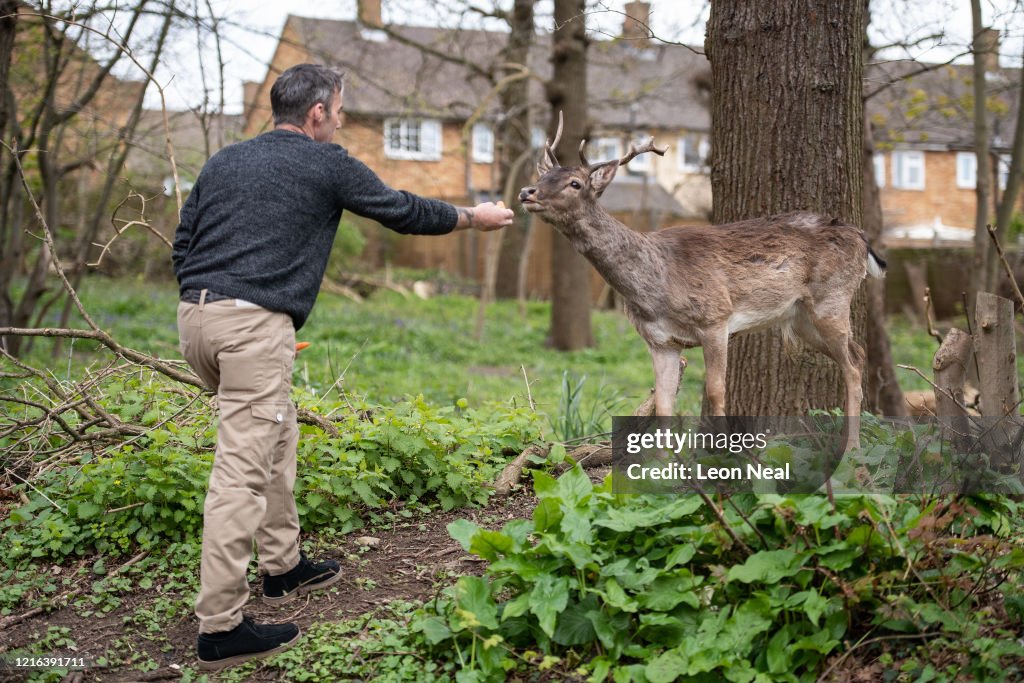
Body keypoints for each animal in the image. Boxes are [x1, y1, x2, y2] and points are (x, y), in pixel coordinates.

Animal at [520, 114, 888, 450]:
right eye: (544, 174)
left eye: (575, 183)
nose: (527, 191)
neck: (655, 287)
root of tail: (861, 239)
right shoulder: (659, 341)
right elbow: (664, 404)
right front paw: (665, 467)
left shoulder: (716, 318)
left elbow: (715, 390)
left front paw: (723, 456)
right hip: (800, 319)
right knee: (857, 354)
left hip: (832, 297)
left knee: (853, 364)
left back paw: (852, 449)